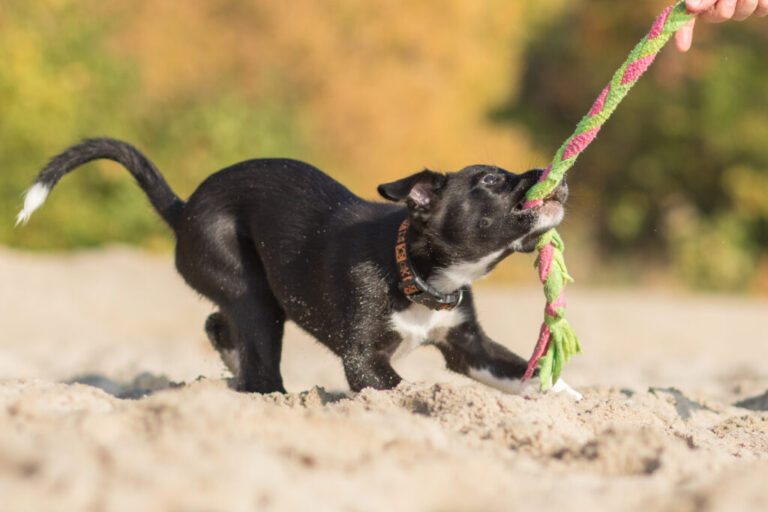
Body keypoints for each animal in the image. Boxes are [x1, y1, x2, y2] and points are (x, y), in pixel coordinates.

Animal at [16, 137, 576, 396]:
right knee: (260, 366)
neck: (419, 274)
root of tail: (183, 210)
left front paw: (569, 399)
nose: (553, 172)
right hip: (251, 292)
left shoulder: (469, 346)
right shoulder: (362, 360)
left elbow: (522, 372)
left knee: (219, 325)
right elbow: (401, 388)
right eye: (490, 181)